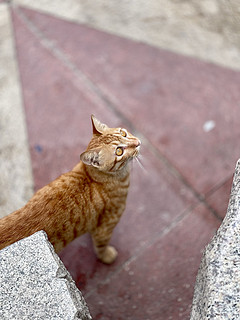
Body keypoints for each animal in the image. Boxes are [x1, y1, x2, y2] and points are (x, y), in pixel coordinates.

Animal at [0, 116, 141, 264]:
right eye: (119, 151)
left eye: (123, 133)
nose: (137, 142)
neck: (92, 176)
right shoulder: (105, 228)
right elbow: (101, 246)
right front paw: (107, 256)